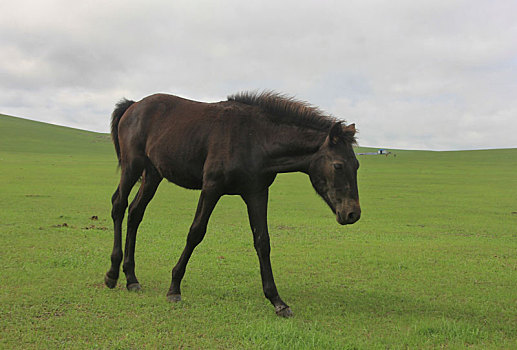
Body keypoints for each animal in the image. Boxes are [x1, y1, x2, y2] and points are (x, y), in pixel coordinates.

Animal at [104, 91, 358, 316]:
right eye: (338, 165)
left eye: (356, 165)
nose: (353, 213)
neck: (256, 138)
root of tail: (134, 105)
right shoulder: (211, 188)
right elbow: (195, 233)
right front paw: (174, 287)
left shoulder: (257, 193)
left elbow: (262, 242)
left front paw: (277, 301)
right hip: (132, 167)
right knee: (118, 205)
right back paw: (113, 274)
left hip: (152, 174)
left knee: (135, 213)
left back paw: (131, 278)